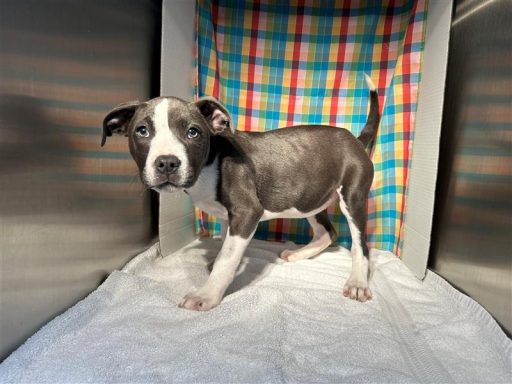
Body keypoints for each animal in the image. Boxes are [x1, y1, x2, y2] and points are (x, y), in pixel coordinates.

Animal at [101, 73, 380, 310]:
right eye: (142, 131)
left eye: (193, 132)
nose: (167, 162)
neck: (209, 163)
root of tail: (355, 140)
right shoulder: (228, 216)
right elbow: (226, 246)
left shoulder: (247, 212)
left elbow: (227, 258)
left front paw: (207, 294)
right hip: (311, 195)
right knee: (327, 232)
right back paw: (300, 253)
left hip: (353, 196)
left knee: (360, 245)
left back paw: (357, 281)